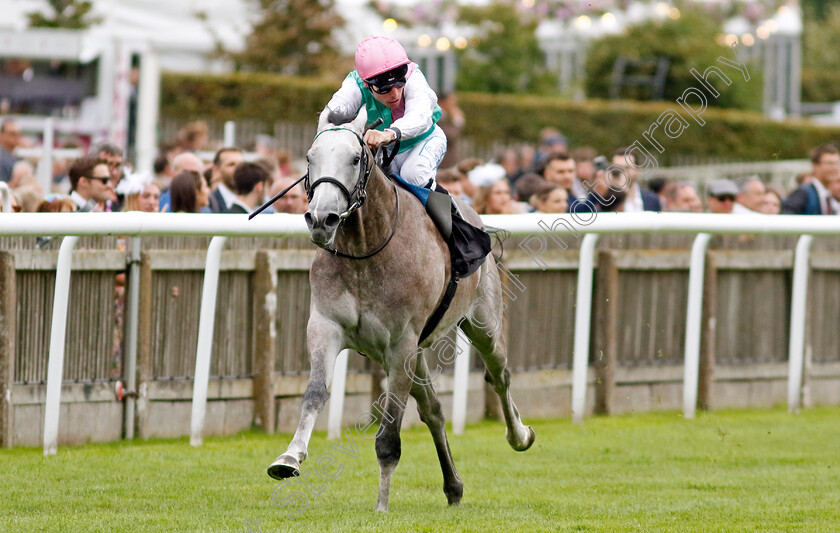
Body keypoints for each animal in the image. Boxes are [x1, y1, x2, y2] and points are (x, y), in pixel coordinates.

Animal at [266, 108, 536, 512]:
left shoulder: (401, 344)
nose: (321, 219)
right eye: (310, 157)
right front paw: (289, 457)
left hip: (482, 325)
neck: (366, 250)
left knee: (499, 375)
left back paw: (519, 435)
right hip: (415, 352)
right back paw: (453, 487)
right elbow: (315, 391)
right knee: (433, 409)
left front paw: (381, 505)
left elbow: (390, 431)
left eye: (356, 158)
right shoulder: (326, 327)